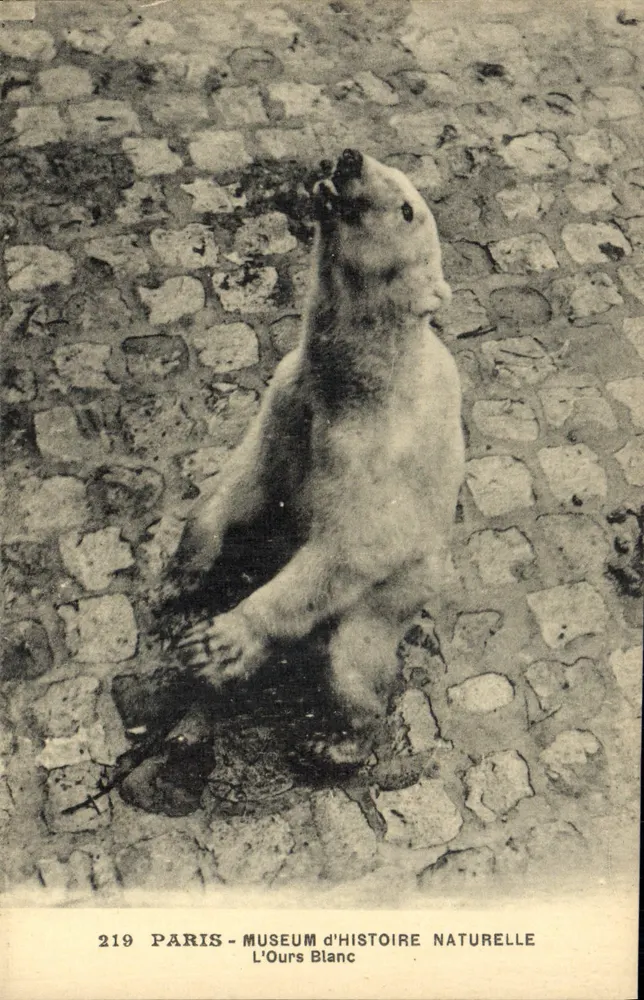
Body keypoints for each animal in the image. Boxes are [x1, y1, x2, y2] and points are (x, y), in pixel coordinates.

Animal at [163, 148, 465, 770]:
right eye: (382, 164)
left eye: (406, 208)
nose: (349, 158)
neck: (358, 380)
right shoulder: (292, 393)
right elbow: (253, 473)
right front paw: (184, 572)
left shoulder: (377, 448)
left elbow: (354, 543)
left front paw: (222, 640)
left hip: (400, 592)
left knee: (350, 656)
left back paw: (336, 741)